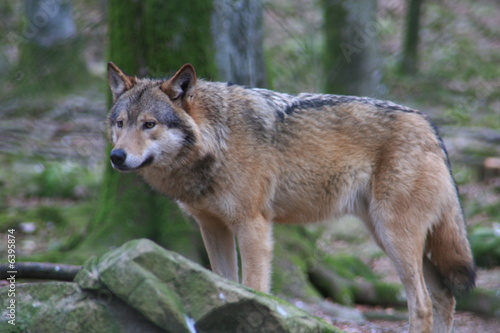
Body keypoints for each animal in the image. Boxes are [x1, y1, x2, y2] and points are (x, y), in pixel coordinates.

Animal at [106, 62, 476, 332]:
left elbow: (253, 290)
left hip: (395, 236)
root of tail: (431, 127)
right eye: (121, 123)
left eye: (149, 124)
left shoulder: (252, 226)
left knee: (422, 304)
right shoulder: (212, 228)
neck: (217, 141)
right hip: (390, 237)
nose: (116, 156)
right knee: (444, 296)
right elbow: (221, 289)